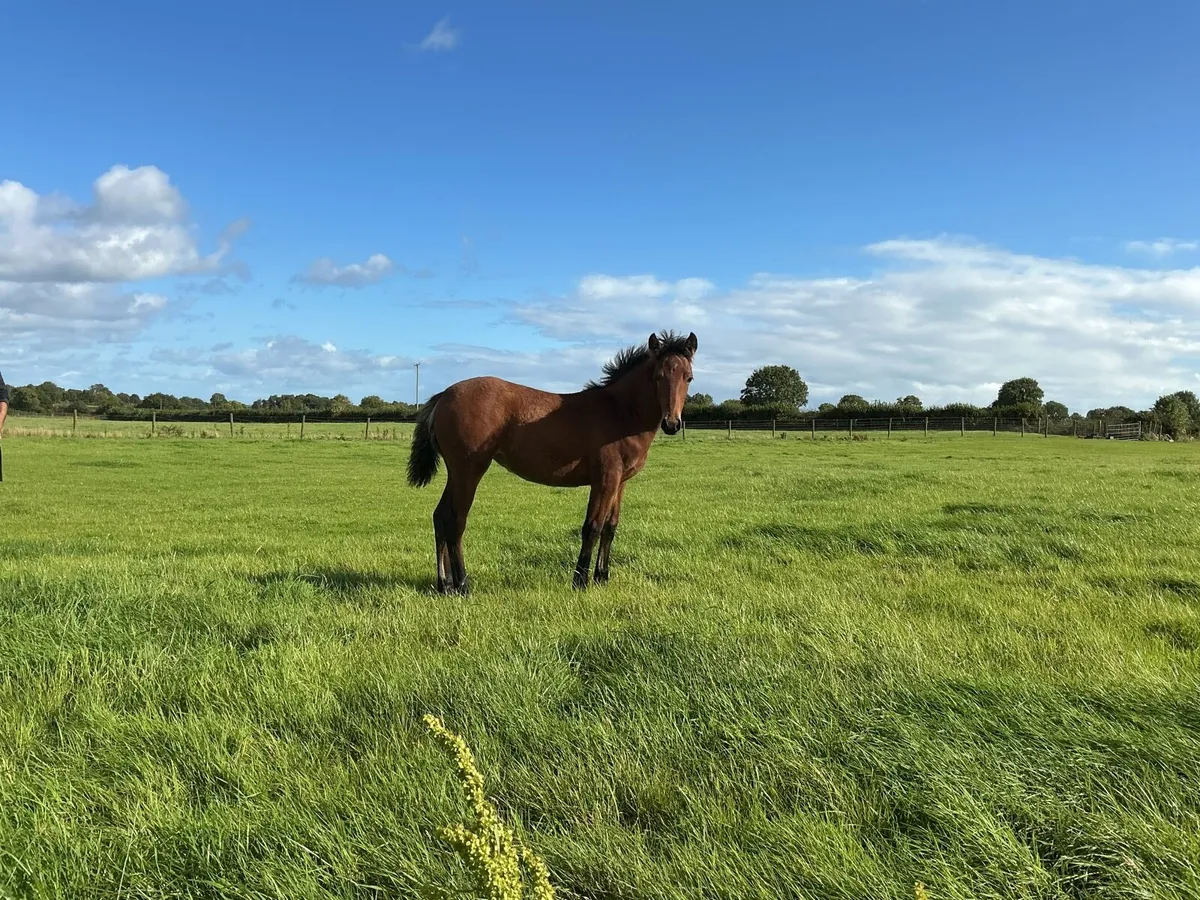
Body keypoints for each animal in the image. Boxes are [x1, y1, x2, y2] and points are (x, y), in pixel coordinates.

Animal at [407, 330, 697, 593]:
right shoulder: (604, 479)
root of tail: (444, 394)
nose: (672, 424)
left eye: (689, 378)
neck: (620, 413)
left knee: (440, 516)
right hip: (469, 470)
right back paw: (463, 585)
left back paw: (444, 584)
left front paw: (602, 578)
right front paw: (580, 582)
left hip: (456, 473)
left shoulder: (620, 482)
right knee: (456, 521)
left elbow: (610, 527)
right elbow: (592, 527)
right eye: (658, 376)